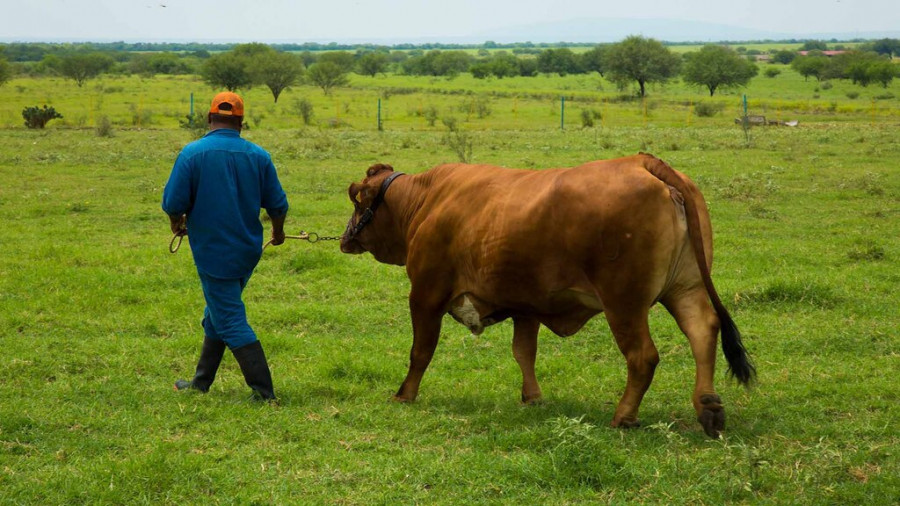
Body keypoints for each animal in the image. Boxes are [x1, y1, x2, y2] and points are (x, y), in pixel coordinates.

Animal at [342, 152, 756, 436]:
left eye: (357, 202)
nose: (346, 237)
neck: (428, 200)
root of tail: (642, 161)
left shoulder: (426, 294)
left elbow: (421, 351)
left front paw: (405, 394)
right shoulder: (525, 305)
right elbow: (524, 352)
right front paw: (533, 397)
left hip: (624, 303)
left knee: (643, 356)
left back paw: (623, 416)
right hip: (685, 288)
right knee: (702, 331)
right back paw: (708, 407)